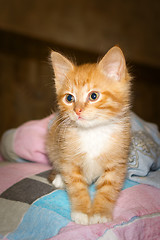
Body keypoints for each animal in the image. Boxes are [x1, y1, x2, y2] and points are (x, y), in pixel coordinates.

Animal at [46, 46, 131, 225]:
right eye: (69, 98)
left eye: (93, 96)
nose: (77, 110)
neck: (93, 131)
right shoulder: (69, 159)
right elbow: (76, 187)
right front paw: (82, 212)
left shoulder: (117, 161)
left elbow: (108, 189)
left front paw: (100, 213)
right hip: (52, 143)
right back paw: (59, 179)